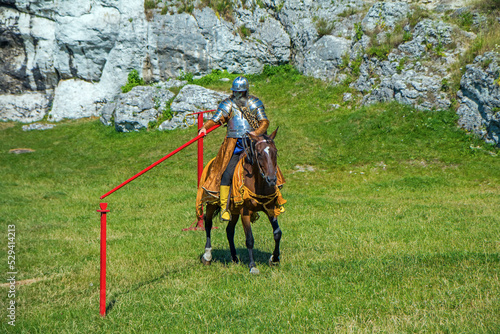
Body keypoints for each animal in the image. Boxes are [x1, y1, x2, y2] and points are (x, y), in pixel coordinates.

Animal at [201, 128, 284, 274]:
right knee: (208, 223)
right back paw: (207, 255)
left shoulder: (270, 208)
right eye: (259, 153)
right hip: (211, 202)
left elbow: (277, 233)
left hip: (234, 211)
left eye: (275, 151)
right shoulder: (245, 211)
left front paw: (274, 259)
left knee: (229, 231)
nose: (272, 179)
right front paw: (252, 266)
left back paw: (234, 258)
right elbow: (249, 238)